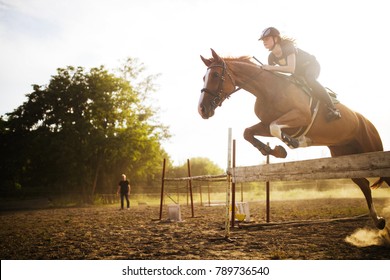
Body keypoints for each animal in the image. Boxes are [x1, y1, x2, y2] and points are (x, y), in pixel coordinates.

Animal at [200, 48, 388, 230]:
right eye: (203, 77)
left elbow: (275, 128)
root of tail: (365, 121)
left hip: (372, 150)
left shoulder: (300, 116)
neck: (268, 89)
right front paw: (273, 150)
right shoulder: (267, 124)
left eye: (215, 75)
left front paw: (295, 142)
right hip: (344, 155)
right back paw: (378, 220)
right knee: (364, 184)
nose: (202, 109)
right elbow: (249, 132)